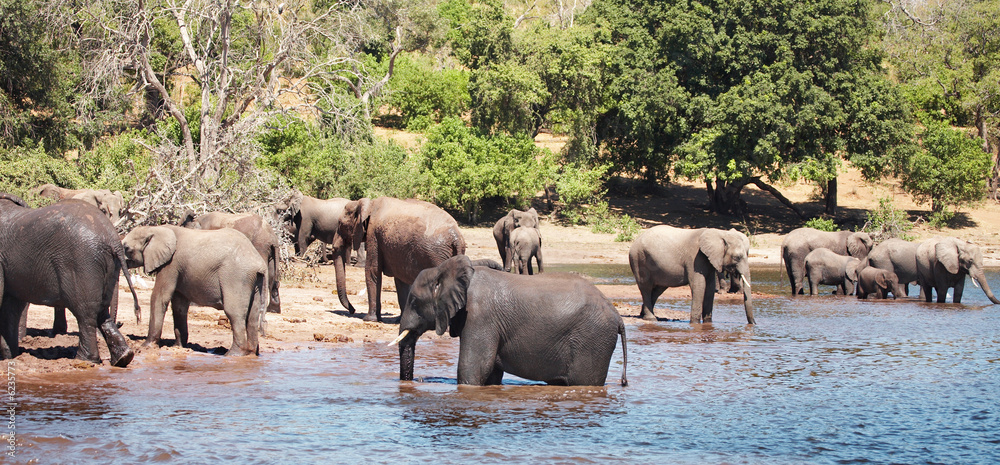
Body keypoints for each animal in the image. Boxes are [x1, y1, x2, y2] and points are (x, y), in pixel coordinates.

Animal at [0, 193, 141, 366]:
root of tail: (112, 239)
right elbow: (11, 307)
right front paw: (9, 356)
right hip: (104, 264)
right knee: (102, 312)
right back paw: (123, 357)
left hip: (81, 262)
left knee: (85, 313)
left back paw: (85, 360)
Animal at [121, 225, 268, 356]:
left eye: (127, 248)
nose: (138, 317)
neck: (156, 229)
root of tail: (259, 263)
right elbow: (179, 305)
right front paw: (177, 347)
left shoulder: (170, 264)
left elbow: (160, 297)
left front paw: (146, 346)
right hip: (255, 280)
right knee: (252, 316)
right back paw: (251, 354)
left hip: (236, 276)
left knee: (234, 313)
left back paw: (232, 355)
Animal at [390, 254, 624, 384]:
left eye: (414, 302)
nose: (419, 379)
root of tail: (617, 316)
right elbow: (490, 373)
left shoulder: (479, 317)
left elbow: (473, 369)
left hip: (592, 341)